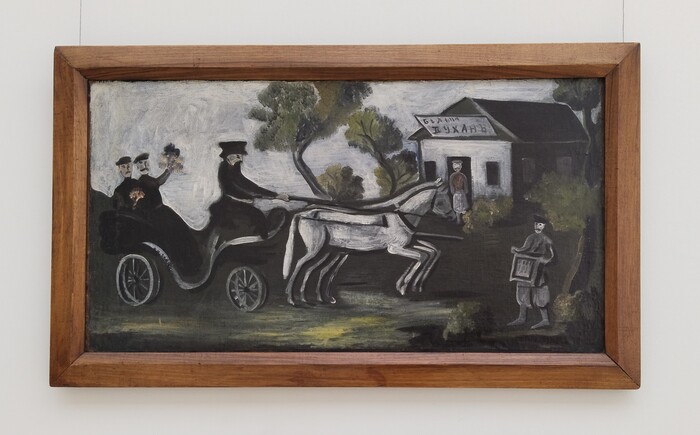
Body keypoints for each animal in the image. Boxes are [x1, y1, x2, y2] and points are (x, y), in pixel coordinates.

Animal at [282, 179, 451, 306]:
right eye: (442, 198)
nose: (452, 216)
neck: (401, 218)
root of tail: (304, 214)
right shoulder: (395, 248)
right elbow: (422, 256)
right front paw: (404, 286)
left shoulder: (407, 244)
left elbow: (431, 252)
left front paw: (412, 285)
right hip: (316, 248)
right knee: (300, 264)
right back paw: (292, 299)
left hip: (328, 250)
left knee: (315, 269)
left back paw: (314, 298)